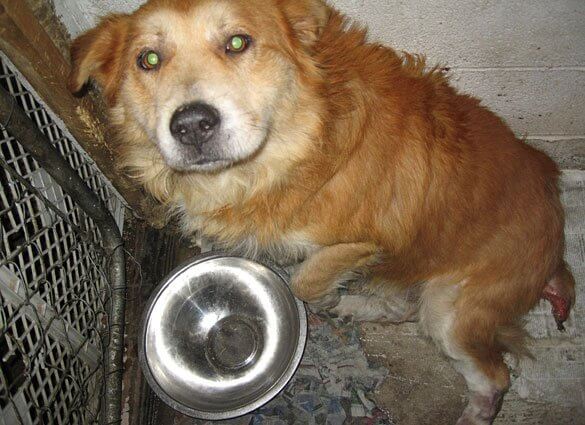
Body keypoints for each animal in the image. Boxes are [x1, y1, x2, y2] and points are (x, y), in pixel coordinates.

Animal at [69, 1, 576, 422]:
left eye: (238, 42)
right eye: (148, 60)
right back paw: (361, 306)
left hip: (452, 311)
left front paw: (325, 299)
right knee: (403, 307)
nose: (192, 124)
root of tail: (557, 234)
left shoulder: (360, 242)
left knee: (492, 375)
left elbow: (304, 281)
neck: (295, 147)